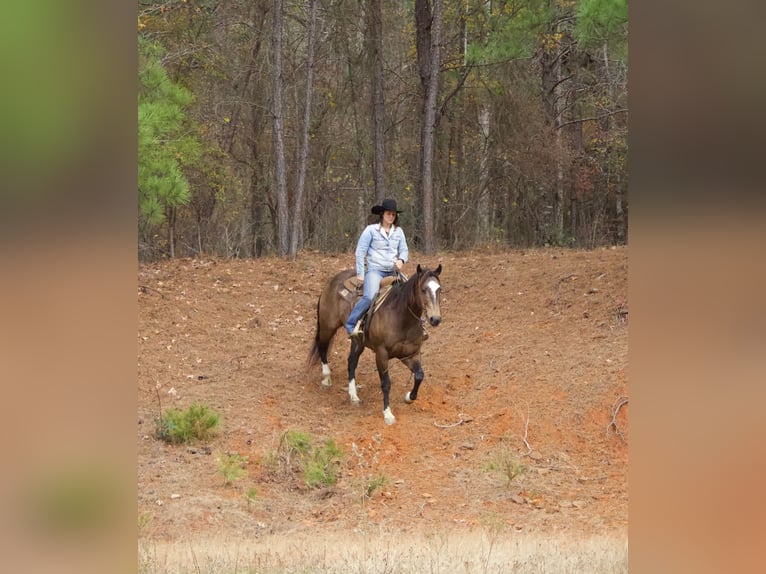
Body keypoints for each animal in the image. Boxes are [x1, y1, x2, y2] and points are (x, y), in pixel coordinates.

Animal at [308, 264, 444, 424]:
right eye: (423, 289)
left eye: (439, 289)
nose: (435, 319)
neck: (402, 317)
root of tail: (332, 281)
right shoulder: (381, 354)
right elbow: (386, 383)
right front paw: (388, 414)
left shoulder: (411, 354)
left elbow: (419, 375)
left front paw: (409, 397)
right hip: (327, 327)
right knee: (322, 347)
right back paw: (326, 377)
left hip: (358, 341)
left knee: (351, 362)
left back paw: (354, 396)